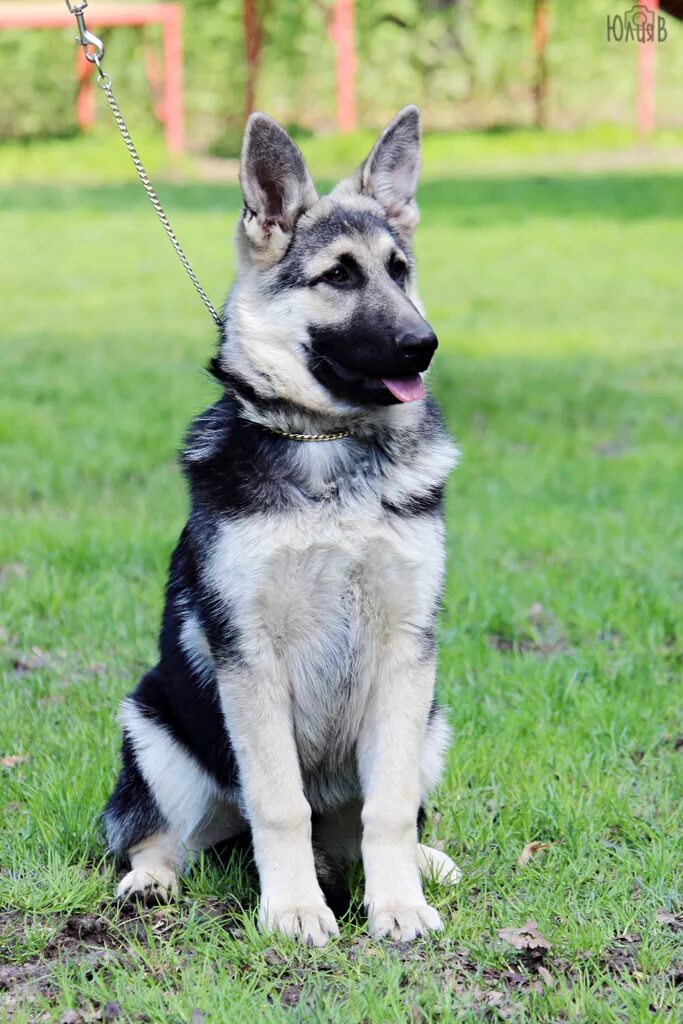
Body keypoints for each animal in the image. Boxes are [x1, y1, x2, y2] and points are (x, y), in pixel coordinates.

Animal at [104, 103, 462, 942]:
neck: (327, 448)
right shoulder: (250, 657)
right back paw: (152, 880)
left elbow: (389, 808)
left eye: (399, 270)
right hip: (154, 726)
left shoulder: (406, 652)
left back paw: (418, 865)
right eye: (339, 276)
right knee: (161, 833)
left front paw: (397, 905)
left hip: (431, 720)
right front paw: (294, 908)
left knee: (370, 819)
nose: (423, 346)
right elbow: (278, 803)